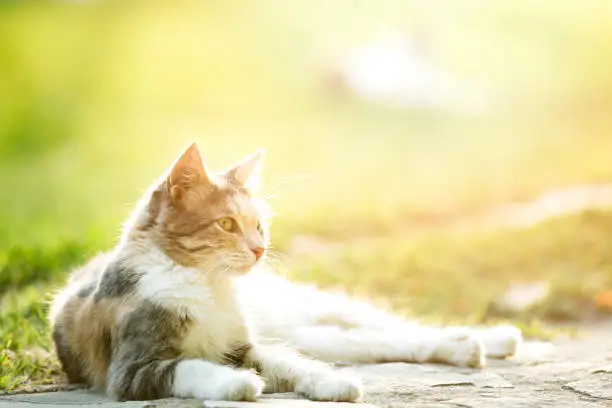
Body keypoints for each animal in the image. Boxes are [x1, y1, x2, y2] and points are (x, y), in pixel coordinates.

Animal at [50, 142, 524, 404]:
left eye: (258, 225)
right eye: (226, 224)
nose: (260, 249)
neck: (208, 285)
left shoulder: (246, 345)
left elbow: (290, 364)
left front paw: (332, 381)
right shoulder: (131, 369)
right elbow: (188, 367)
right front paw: (235, 384)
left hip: (306, 311)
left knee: (391, 329)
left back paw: (490, 339)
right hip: (313, 333)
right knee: (373, 342)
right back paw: (468, 346)